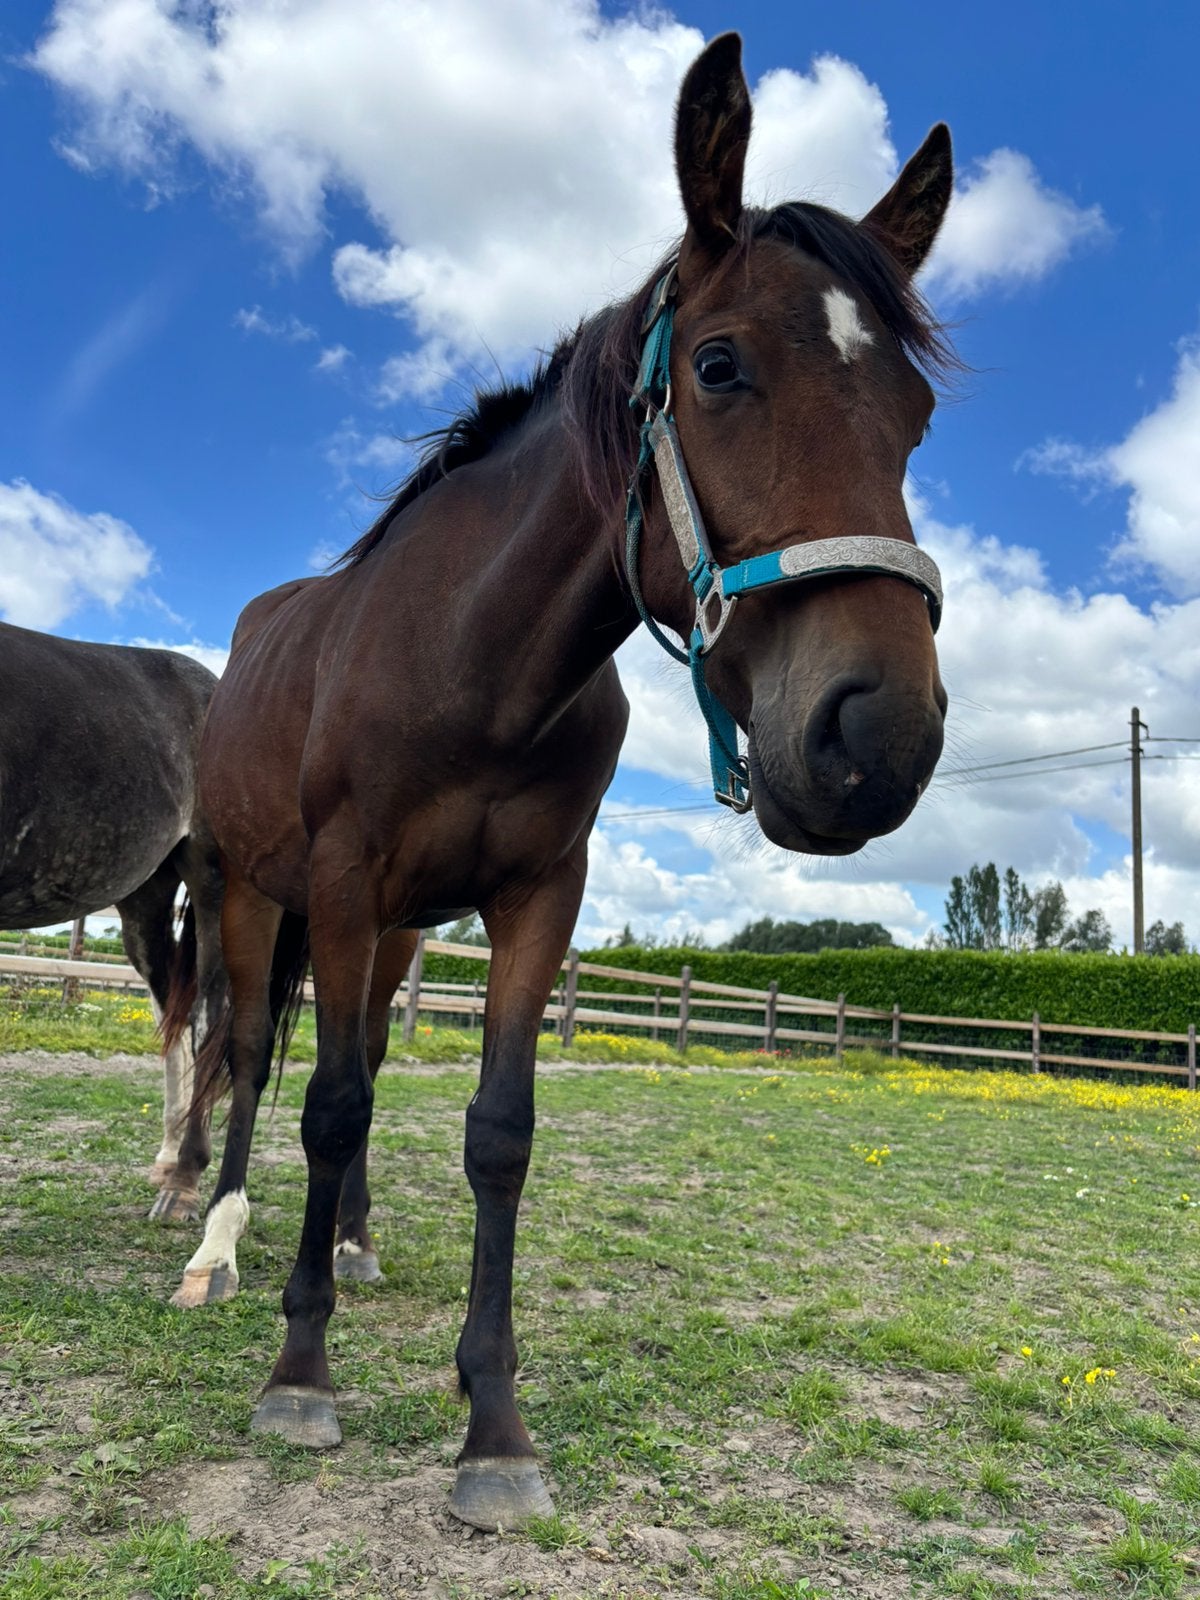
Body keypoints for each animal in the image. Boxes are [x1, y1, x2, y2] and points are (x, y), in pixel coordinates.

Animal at [0, 621, 225, 1221]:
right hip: (145, 899)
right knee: (174, 1012)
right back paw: (168, 1159)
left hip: (215, 883)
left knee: (211, 1014)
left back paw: (184, 1182)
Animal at [168, 31, 956, 1529]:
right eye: (719, 365)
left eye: (920, 412)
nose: (879, 737)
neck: (473, 659)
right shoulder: (340, 878)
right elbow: (325, 1102)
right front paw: (301, 1373)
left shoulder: (537, 894)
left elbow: (495, 1132)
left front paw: (494, 1428)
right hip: (256, 891)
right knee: (245, 1055)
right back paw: (216, 1240)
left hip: (396, 928)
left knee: (350, 1065)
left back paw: (349, 1244)